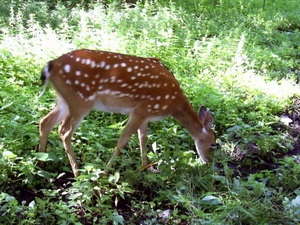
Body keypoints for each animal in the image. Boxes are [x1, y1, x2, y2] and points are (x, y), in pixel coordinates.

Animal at [38, 49, 216, 178]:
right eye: (214, 144)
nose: (210, 162)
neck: (172, 104)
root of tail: (51, 65)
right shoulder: (141, 110)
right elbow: (123, 140)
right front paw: (105, 173)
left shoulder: (146, 113)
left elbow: (143, 138)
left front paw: (145, 166)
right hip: (80, 100)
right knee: (64, 131)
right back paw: (77, 173)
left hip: (64, 100)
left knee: (45, 121)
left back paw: (41, 162)